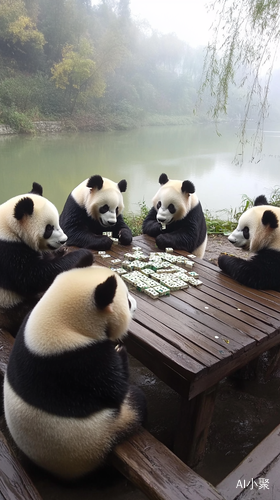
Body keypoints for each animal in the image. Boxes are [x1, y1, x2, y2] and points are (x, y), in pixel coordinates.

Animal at [0, 180, 94, 336]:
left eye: (57, 223)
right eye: (49, 228)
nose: (64, 240)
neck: (9, 228)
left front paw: (62, 251)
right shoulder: (8, 251)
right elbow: (33, 276)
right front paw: (85, 255)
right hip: (11, 304)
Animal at [3, 266, 147, 480]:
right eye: (127, 301)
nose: (136, 305)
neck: (59, 320)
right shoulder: (80, 364)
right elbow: (113, 390)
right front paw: (120, 351)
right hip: (100, 436)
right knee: (137, 404)